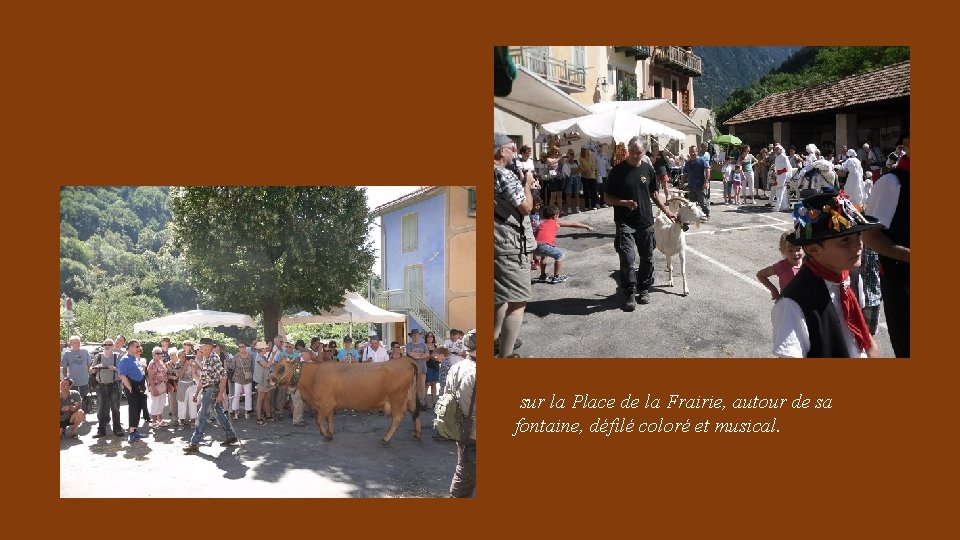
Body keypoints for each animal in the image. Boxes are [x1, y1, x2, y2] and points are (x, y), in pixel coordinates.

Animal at [270, 356, 420, 446]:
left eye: (281, 368)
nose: (269, 380)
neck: (313, 376)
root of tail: (405, 359)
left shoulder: (326, 404)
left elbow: (319, 420)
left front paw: (325, 434)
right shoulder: (330, 405)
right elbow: (330, 419)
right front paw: (329, 434)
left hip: (397, 398)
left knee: (398, 417)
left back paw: (386, 438)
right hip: (409, 397)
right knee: (415, 412)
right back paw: (417, 434)